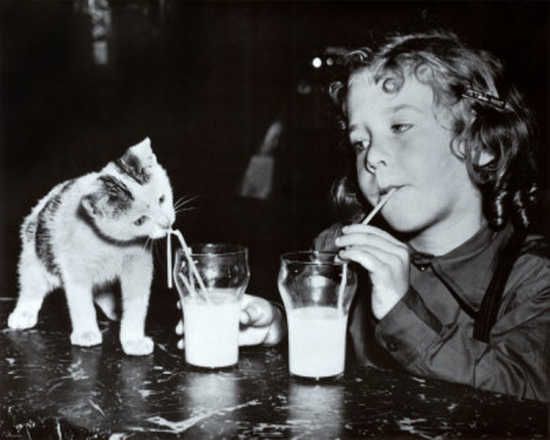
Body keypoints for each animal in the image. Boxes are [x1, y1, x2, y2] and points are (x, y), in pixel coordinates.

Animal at [7, 138, 175, 356]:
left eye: (161, 199)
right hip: (34, 255)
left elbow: (136, 302)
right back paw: (24, 313)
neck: (111, 244)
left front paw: (133, 340)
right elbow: (80, 301)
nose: (167, 223)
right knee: (31, 286)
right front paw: (86, 333)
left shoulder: (138, 262)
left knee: (100, 290)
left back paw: (115, 309)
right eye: (140, 221)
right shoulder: (74, 267)